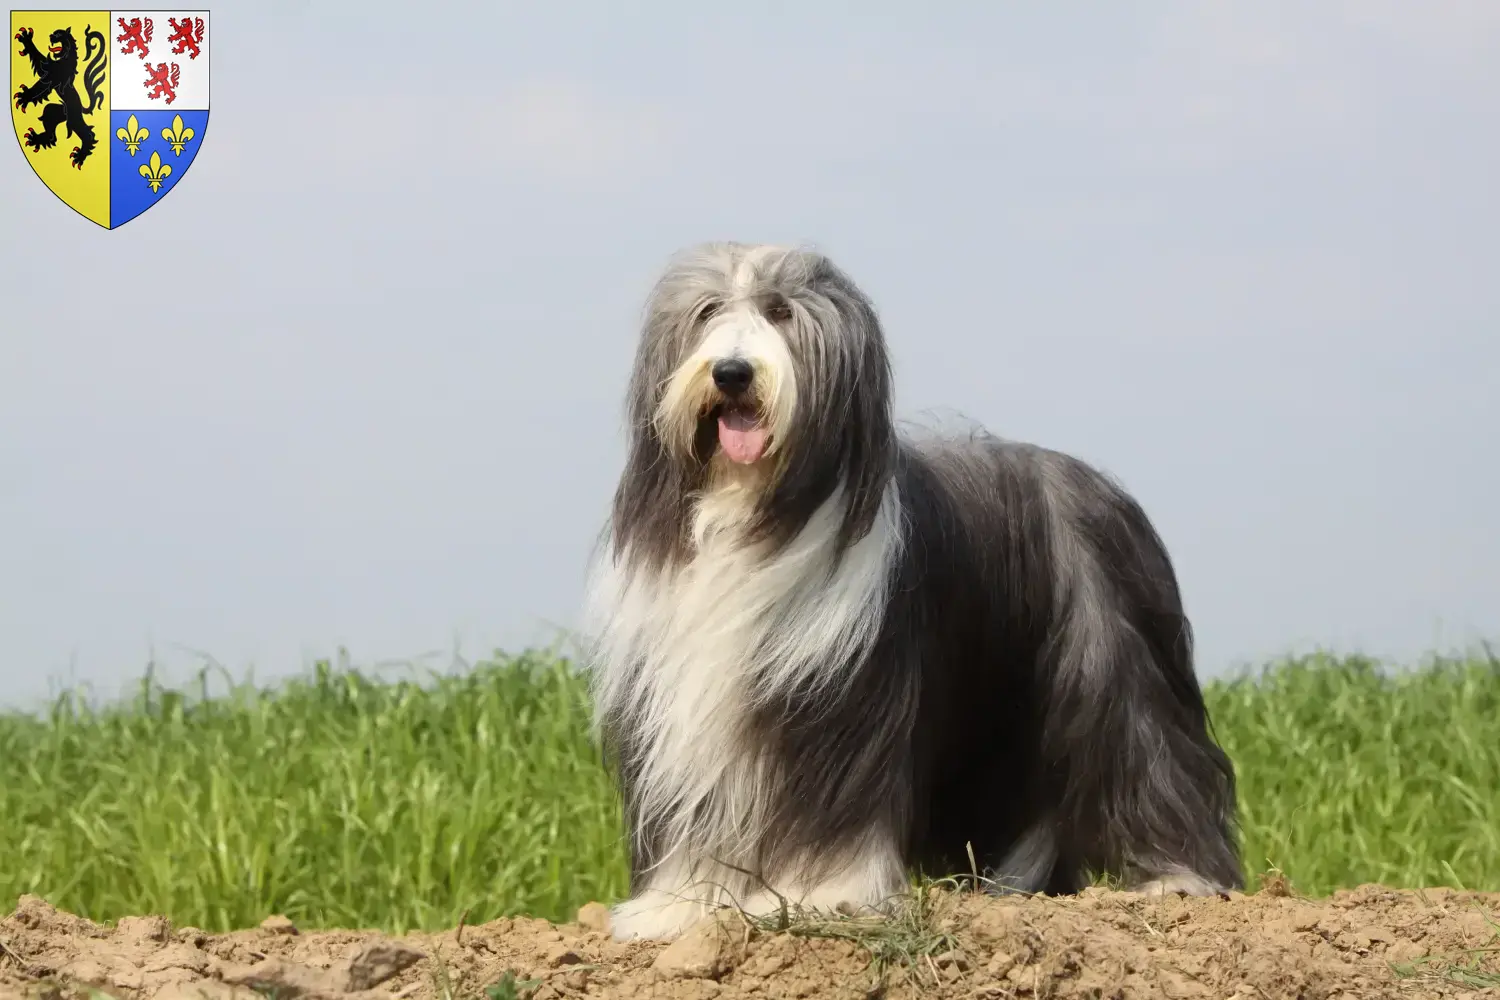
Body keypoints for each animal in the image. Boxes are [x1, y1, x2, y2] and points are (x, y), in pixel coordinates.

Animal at [585, 239, 1242, 941]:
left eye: (780, 311)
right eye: (708, 311)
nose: (732, 373)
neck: (751, 513)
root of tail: (1089, 480)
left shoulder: (840, 696)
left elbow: (835, 802)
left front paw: (822, 895)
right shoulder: (686, 701)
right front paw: (673, 908)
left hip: (1109, 655)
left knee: (1146, 750)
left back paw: (1179, 879)